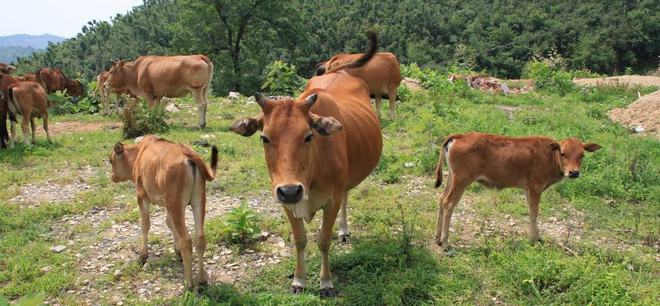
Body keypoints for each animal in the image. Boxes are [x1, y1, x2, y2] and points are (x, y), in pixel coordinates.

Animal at [108, 136, 219, 290]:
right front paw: (176, 251)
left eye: (110, 160)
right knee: (200, 238)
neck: (139, 154)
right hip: (198, 200)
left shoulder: (142, 196)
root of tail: (187, 153)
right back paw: (202, 280)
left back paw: (188, 283)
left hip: (175, 203)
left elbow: (145, 225)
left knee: (187, 240)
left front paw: (142, 256)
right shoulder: (168, 204)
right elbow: (169, 223)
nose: (112, 177)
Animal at [229, 31, 382, 296]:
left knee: (346, 196)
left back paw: (344, 230)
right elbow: (300, 240)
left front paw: (326, 282)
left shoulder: (331, 199)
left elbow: (323, 240)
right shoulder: (286, 202)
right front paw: (299, 280)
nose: (291, 190)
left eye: (309, 136)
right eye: (264, 138)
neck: (310, 175)